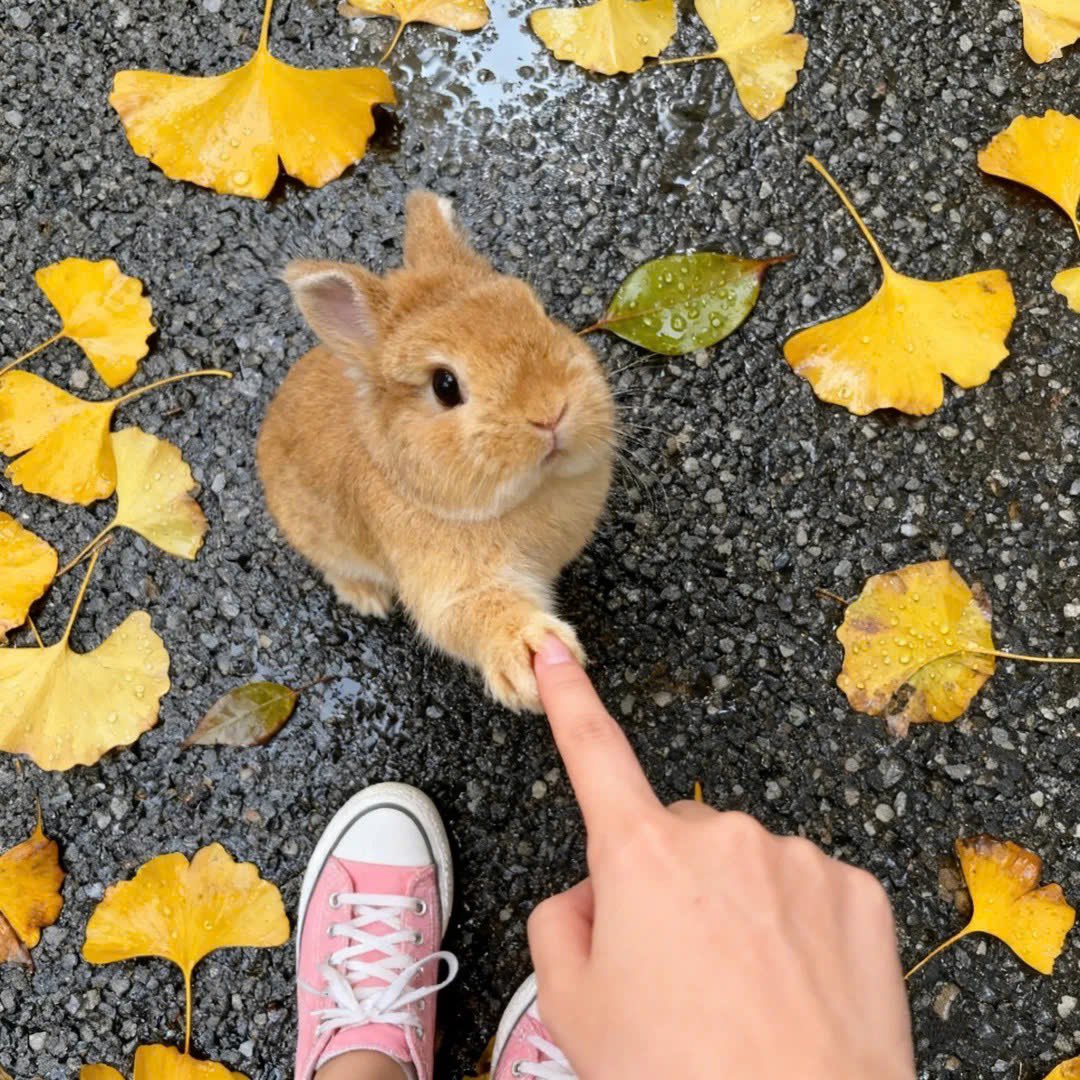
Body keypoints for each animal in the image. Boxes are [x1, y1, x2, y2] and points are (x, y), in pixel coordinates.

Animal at [257, 192, 615, 713]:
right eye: (445, 386)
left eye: (538, 311)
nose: (550, 411)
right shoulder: (450, 587)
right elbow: (469, 615)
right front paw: (526, 652)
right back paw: (367, 597)